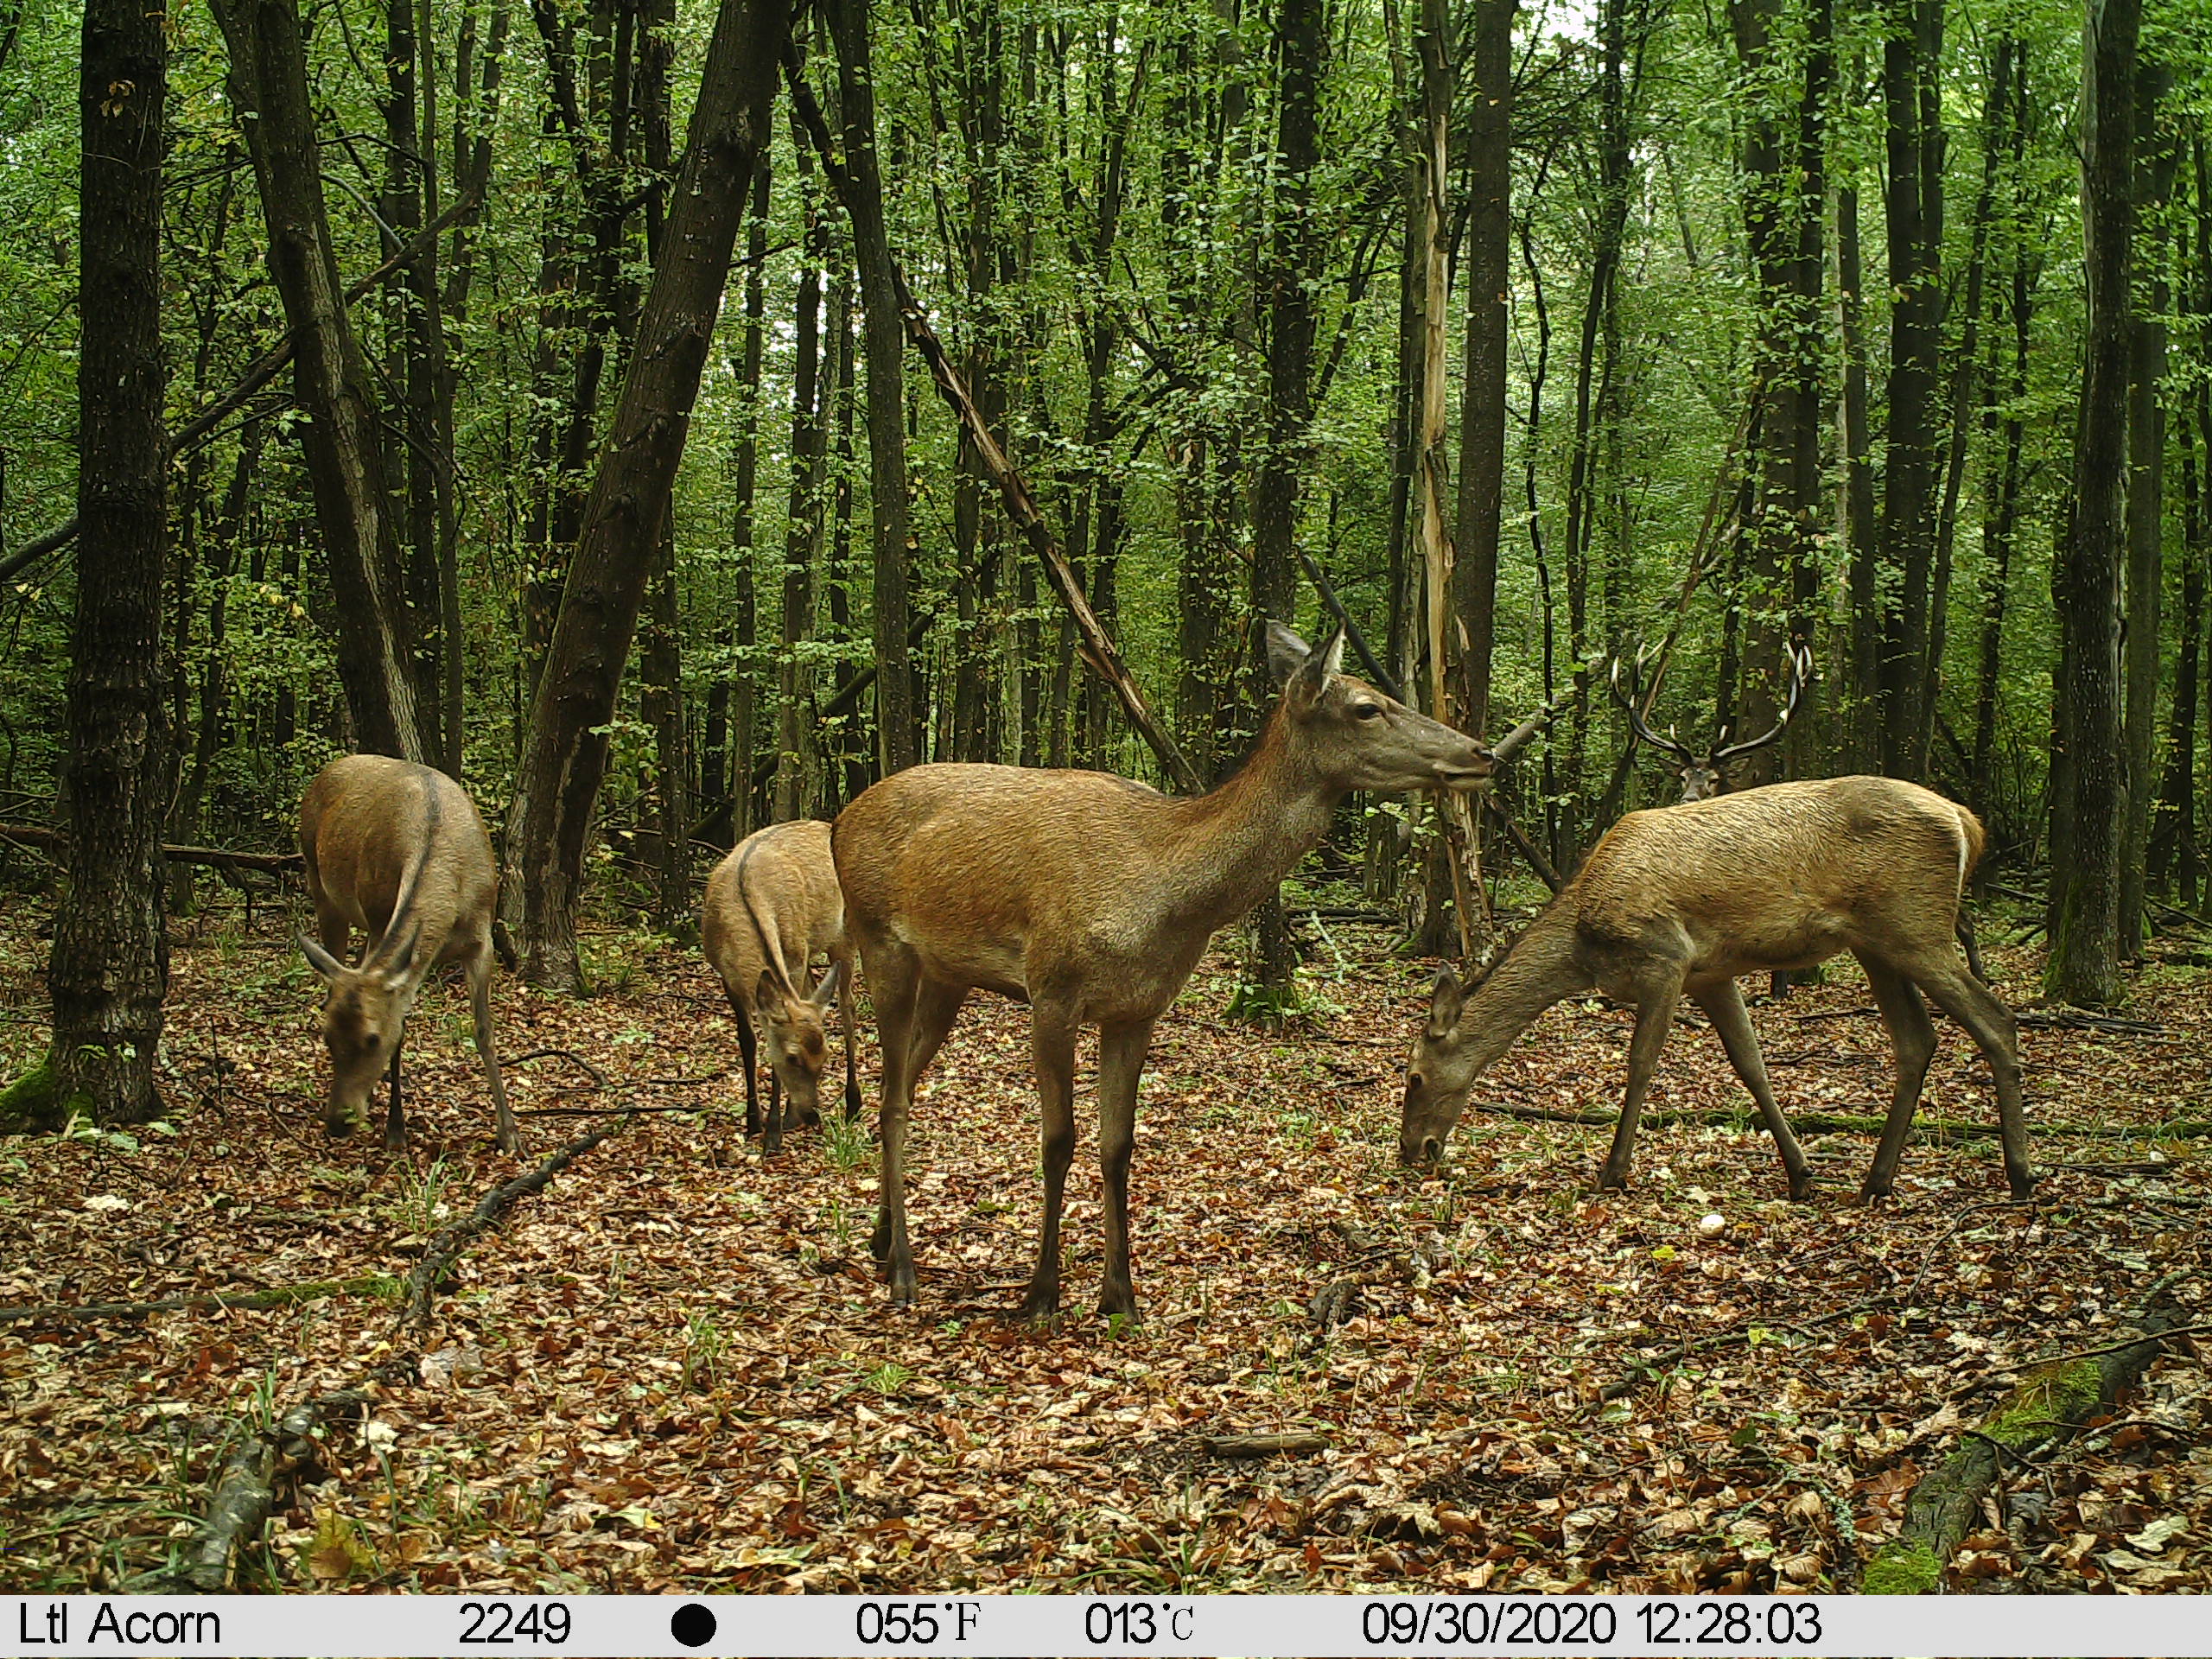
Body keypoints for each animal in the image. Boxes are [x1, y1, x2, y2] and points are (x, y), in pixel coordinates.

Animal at [297, 754, 524, 1155]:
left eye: (372, 1039)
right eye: (327, 1037)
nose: (338, 1122)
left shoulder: (482, 940)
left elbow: (484, 1030)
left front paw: (509, 1133)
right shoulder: (378, 918)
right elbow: (402, 1032)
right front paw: (396, 1129)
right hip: (318, 881)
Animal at [701, 818, 860, 1155]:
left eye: (825, 1057)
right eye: (793, 1057)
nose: (811, 1115)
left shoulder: (794, 959)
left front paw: (773, 1131)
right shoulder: (725, 975)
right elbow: (747, 1041)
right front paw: (753, 1121)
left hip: (846, 934)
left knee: (849, 1007)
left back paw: (853, 1103)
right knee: (818, 993)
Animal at [831, 622, 1495, 1321]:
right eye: (1368, 707)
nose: (1483, 753)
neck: (1161, 896)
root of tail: (839, 820)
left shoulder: (1139, 1008)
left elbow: (1118, 1145)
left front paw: (1120, 1296)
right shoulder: (1051, 987)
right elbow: (1058, 1140)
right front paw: (1041, 1294)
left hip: (948, 975)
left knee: (899, 1089)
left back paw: (880, 1241)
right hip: (879, 941)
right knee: (892, 1097)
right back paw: (904, 1271)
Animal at [1399, 774, 2030, 1203]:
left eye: (1414, 1076)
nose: (1413, 1152)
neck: (1583, 942)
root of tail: (1967, 822)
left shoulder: (1665, 956)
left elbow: (1641, 1064)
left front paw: (1613, 1171)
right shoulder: (1712, 974)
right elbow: (1751, 1065)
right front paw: (1801, 1173)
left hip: (1915, 924)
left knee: (1996, 1019)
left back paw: (2020, 1176)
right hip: (1877, 943)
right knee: (1917, 1039)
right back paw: (1877, 1180)